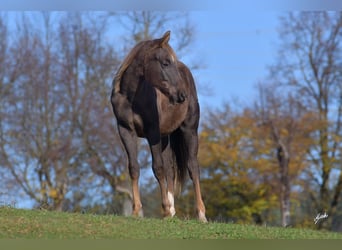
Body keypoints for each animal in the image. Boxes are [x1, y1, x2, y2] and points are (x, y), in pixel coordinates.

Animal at [111, 30, 207, 222]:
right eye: (165, 63)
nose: (182, 95)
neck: (131, 97)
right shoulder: (126, 131)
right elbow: (134, 168)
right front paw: (136, 211)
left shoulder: (152, 133)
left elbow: (158, 168)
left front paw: (164, 209)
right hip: (165, 137)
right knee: (171, 169)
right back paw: (173, 211)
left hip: (189, 130)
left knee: (193, 168)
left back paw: (201, 215)